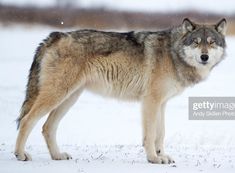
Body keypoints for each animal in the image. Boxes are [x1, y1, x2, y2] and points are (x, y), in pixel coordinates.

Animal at [14, 18, 226, 164]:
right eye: (196, 42)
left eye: (211, 42)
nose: (204, 57)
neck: (173, 53)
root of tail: (54, 36)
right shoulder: (150, 101)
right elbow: (150, 134)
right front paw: (153, 159)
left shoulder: (162, 103)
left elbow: (161, 133)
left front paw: (162, 156)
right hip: (58, 95)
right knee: (26, 120)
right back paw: (20, 154)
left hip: (69, 98)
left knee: (47, 127)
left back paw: (57, 156)